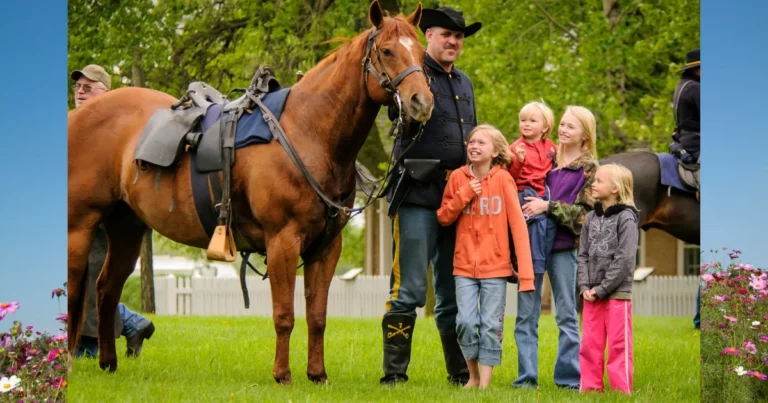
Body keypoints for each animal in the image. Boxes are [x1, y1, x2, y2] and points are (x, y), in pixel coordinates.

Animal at [67, 0, 432, 386]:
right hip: (79, 227)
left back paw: (108, 363)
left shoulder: (326, 247)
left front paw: (317, 374)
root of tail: (78, 116)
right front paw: (283, 375)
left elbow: (317, 316)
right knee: (75, 291)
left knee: (106, 289)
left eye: (422, 53)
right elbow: (284, 314)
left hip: (126, 227)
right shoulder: (283, 241)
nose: (422, 102)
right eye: (387, 51)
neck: (306, 132)